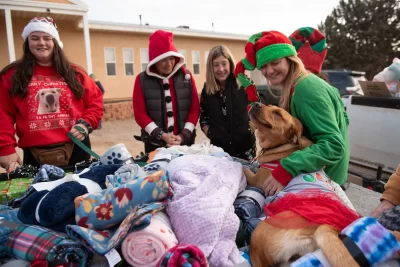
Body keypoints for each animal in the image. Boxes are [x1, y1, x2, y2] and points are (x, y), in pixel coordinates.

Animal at [244, 102, 360, 266]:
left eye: (278, 114)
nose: (255, 103)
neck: (286, 145)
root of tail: (325, 228)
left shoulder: (257, 180)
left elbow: (246, 169)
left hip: (258, 235)